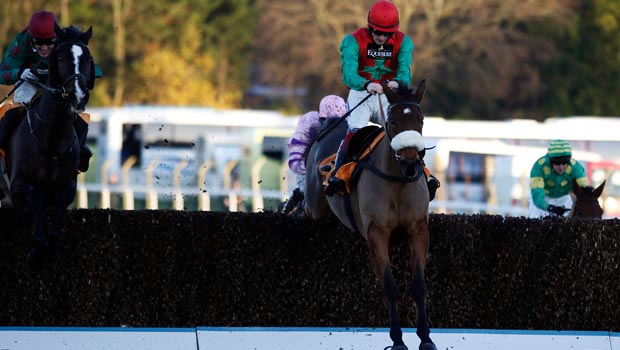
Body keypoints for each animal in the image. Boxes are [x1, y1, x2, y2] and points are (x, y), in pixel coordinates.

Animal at [2, 24, 95, 270]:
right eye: (61, 57)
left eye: (88, 59)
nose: (78, 95)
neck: (52, 137)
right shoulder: (18, 184)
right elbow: (35, 194)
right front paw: (36, 250)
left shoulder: (68, 182)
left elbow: (64, 197)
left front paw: (51, 246)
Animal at [306, 80, 436, 350]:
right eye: (393, 122)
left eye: (420, 121)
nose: (411, 163)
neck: (398, 181)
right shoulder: (377, 233)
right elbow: (389, 286)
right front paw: (397, 340)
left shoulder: (418, 230)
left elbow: (419, 285)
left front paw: (426, 338)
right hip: (315, 206)